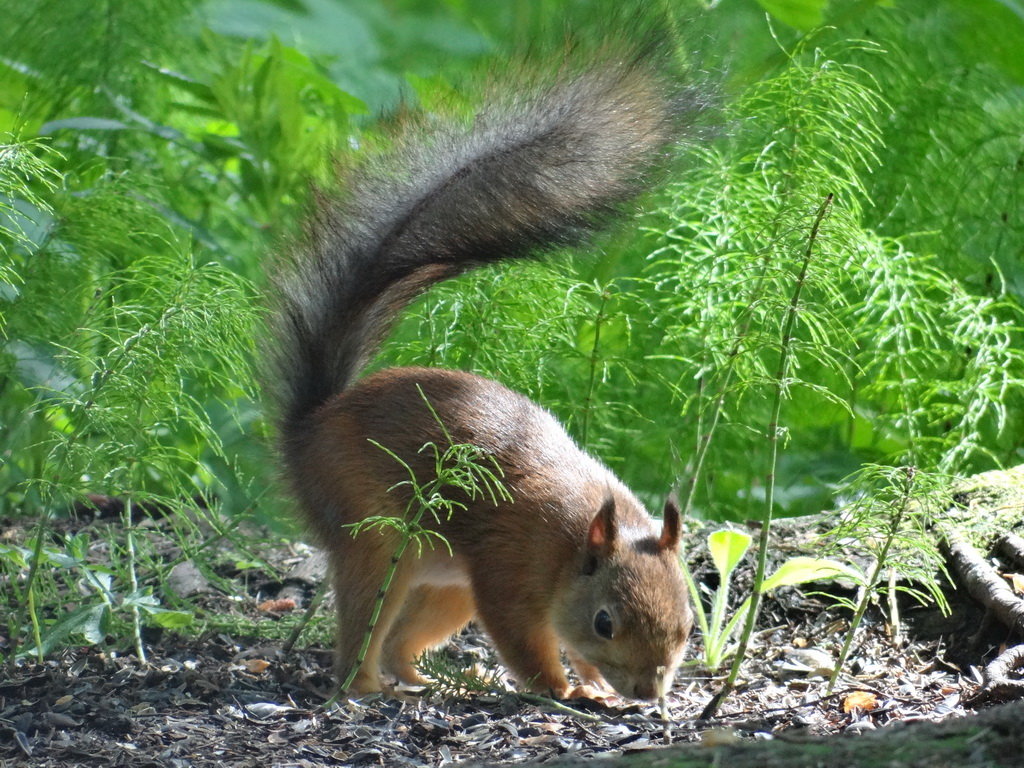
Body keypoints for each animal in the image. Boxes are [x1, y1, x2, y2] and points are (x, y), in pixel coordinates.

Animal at [268, 49, 708, 704]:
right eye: (605, 622)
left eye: (686, 623)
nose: (647, 694)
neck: (572, 542)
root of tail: (309, 426)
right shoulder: (507, 565)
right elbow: (522, 641)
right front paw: (566, 690)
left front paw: (594, 686)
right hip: (376, 537)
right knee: (364, 632)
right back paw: (368, 686)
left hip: (447, 582)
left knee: (402, 639)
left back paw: (424, 678)